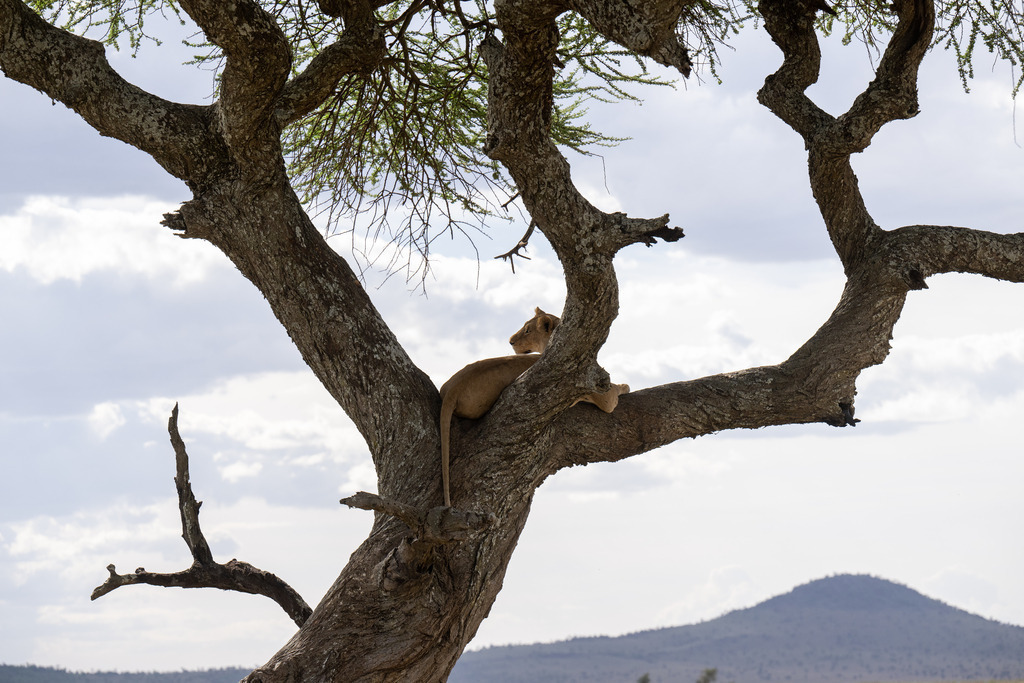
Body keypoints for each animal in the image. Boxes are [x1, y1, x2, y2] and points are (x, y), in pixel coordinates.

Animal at [438, 308, 629, 507]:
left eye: (527, 330)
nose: (510, 341)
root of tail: (452, 390)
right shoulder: (602, 394)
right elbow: (615, 390)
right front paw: (626, 385)